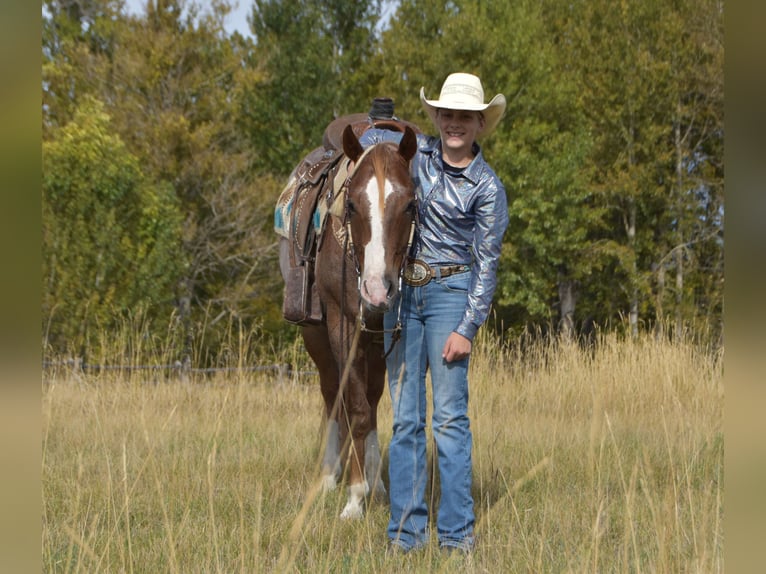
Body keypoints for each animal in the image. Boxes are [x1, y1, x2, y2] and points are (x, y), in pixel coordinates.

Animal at [279, 124, 418, 518]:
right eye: (352, 204)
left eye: (410, 204)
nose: (376, 290)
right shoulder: (342, 327)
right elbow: (354, 408)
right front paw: (355, 497)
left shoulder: (386, 334)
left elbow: (369, 407)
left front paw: (375, 485)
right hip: (316, 336)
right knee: (332, 393)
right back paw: (329, 476)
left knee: (369, 398)